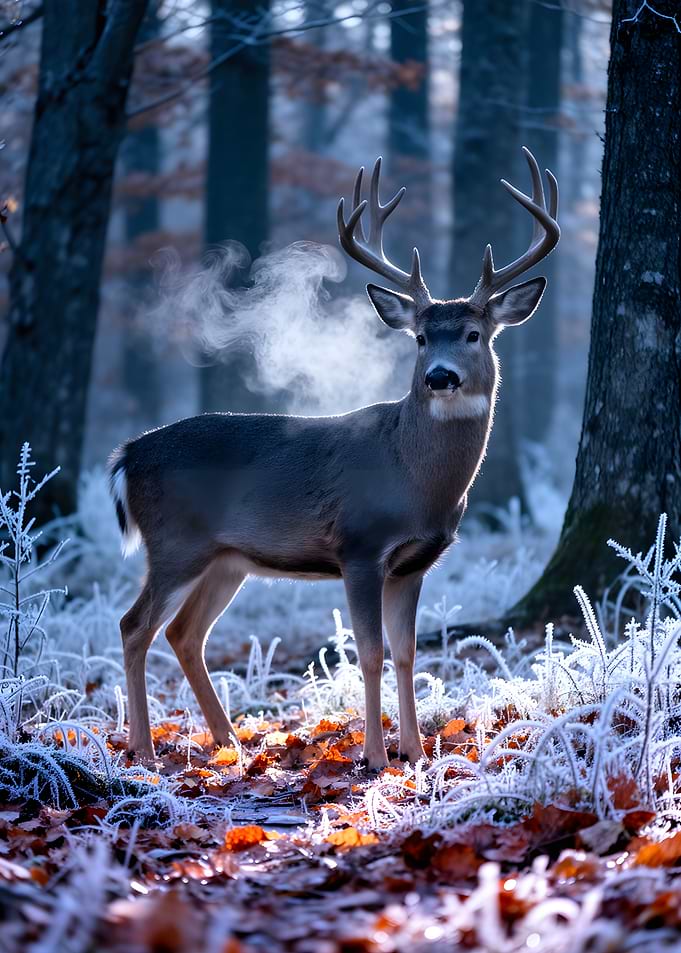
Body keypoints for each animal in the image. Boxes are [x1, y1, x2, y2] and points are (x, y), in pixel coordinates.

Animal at [109, 147, 559, 771]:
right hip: (176, 541)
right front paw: (375, 756)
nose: (440, 377)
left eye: (473, 334)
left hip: (225, 559)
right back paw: (144, 750)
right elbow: (369, 652)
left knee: (184, 633)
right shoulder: (360, 546)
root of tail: (128, 453)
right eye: (420, 338)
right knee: (135, 626)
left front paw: (415, 752)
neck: (416, 480)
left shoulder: (413, 563)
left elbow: (407, 654)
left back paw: (228, 744)